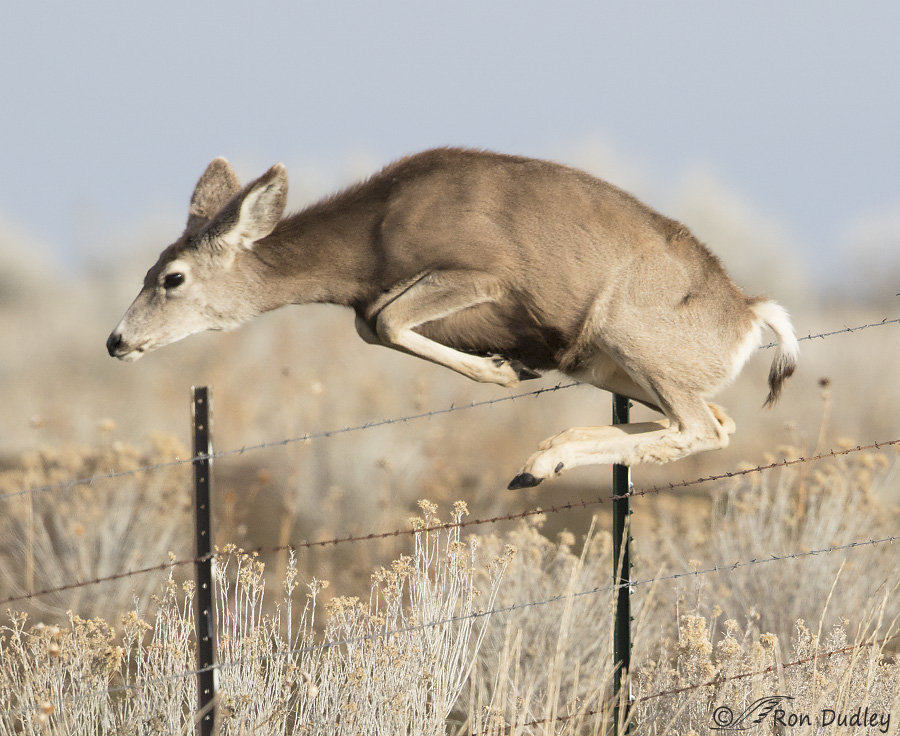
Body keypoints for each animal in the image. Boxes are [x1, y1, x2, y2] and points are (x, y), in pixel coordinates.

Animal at [107, 148, 798, 490]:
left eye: (172, 278)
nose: (116, 341)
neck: (373, 240)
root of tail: (749, 314)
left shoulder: (479, 273)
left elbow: (384, 321)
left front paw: (502, 372)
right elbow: (374, 323)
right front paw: (510, 369)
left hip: (628, 335)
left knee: (702, 427)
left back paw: (547, 461)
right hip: (605, 363)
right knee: (719, 419)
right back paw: (543, 458)